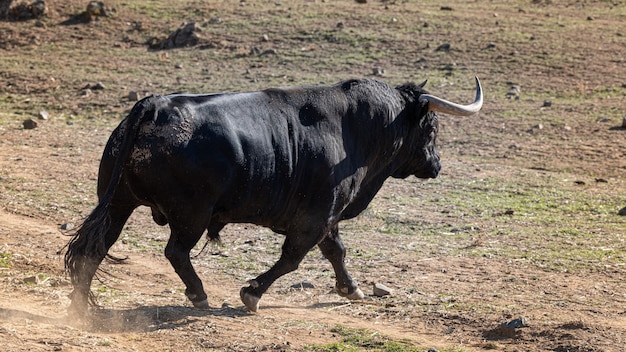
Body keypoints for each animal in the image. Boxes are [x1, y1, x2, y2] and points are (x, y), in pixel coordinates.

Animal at [64, 75, 482, 312]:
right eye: (432, 127)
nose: (436, 165)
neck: (356, 129)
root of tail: (155, 105)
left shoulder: (327, 217)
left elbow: (336, 251)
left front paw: (351, 289)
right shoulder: (314, 219)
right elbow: (292, 260)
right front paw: (252, 293)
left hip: (118, 204)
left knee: (94, 249)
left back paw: (81, 306)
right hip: (191, 214)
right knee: (176, 252)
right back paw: (198, 295)